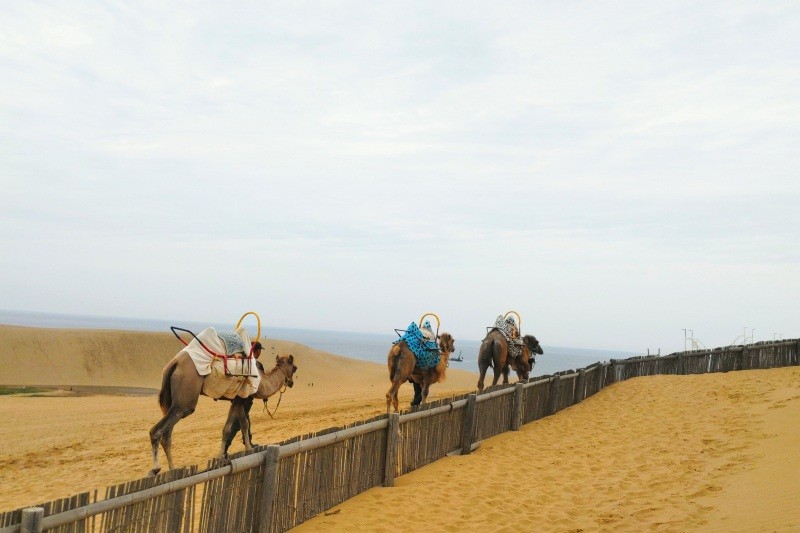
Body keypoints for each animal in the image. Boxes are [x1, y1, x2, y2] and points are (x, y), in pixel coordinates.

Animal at [148, 352, 296, 476]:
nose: (291, 383)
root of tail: (174, 363)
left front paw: (248, 450)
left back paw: (172, 469)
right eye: (295, 368)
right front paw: (220, 457)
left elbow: (244, 424)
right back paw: (156, 468)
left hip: (171, 401)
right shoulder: (240, 399)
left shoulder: (239, 399)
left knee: (166, 435)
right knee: (157, 430)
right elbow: (227, 429)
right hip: (185, 400)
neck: (261, 381)